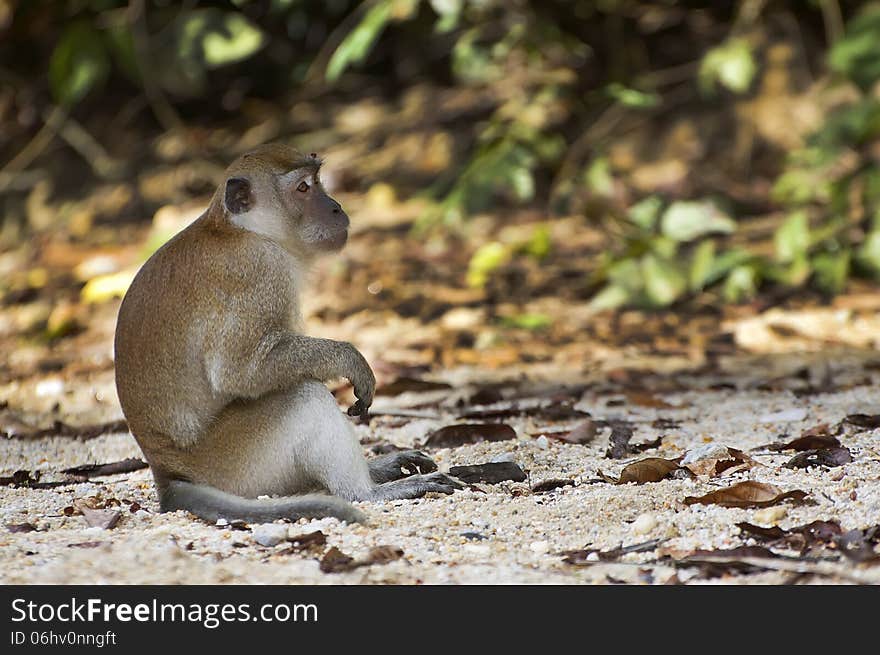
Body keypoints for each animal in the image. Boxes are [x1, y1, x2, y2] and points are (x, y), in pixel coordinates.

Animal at [114, 142, 460, 524]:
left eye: (317, 181)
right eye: (303, 188)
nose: (337, 207)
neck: (241, 230)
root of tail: (168, 475)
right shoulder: (259, 271)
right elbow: (239, 372)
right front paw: (349, 359)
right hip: (235, 466)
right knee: (303, 394)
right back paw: (367, 491)